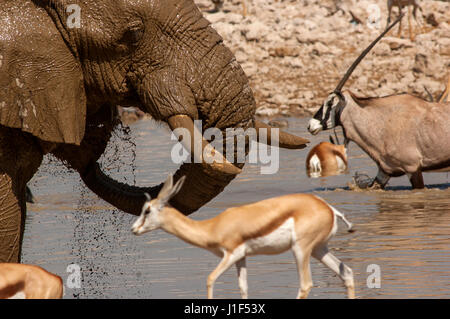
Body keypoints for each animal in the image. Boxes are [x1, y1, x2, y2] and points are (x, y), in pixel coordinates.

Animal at [132, 175, 356, 300]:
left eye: (147, 210)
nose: (134, 229)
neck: (212, 227)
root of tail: (328, 208)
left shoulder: (231, 253)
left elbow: (210, 279)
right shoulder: (242, 257)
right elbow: (243, 288)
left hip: (301, 249)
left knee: (305, 285)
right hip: (319, 249)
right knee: (347, 273)